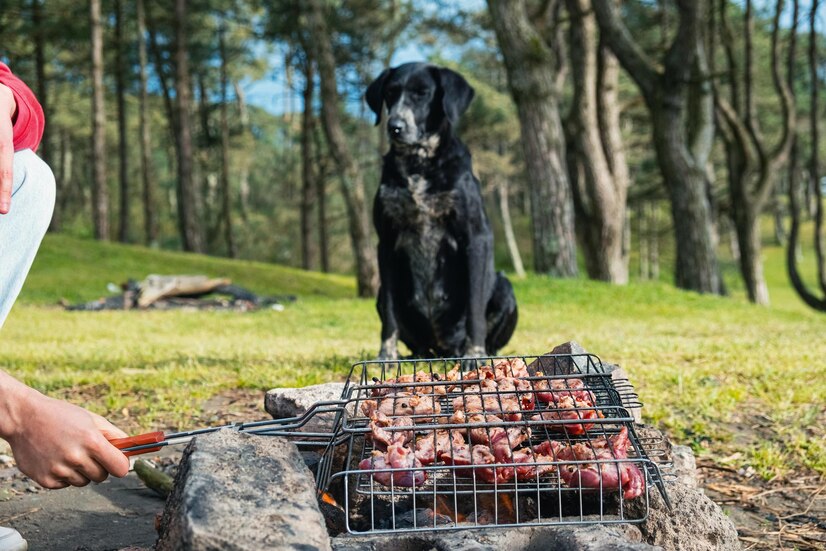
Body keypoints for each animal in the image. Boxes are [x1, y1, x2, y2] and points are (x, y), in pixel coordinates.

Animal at [366, 62, 516, 360]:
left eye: (422, 93)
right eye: (390, 93)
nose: (394, 127)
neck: (419, 163)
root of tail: (443, 349)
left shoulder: (476, 237)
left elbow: (474, 307)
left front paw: (474, 355)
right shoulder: (385, 243)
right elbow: (389, 312)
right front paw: (386, 355)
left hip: (505, 286)